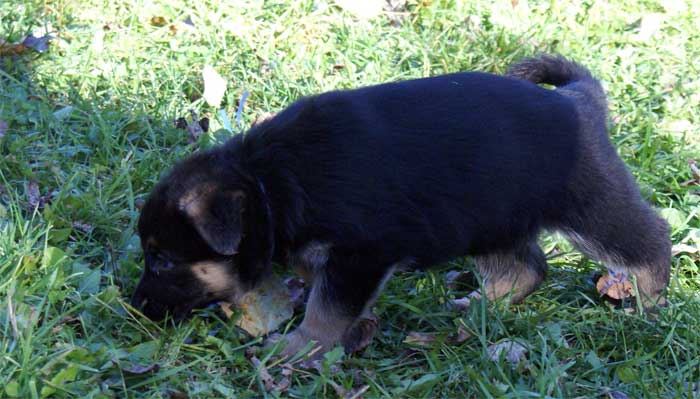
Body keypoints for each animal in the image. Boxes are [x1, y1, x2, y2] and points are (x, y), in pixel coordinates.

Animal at [133, 54, 672, 356]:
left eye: (162, 260)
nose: (135, 308)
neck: (270, 182)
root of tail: (579, 101)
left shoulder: (361, 255)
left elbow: (327, 311)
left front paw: (295, 350)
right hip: (484, 217)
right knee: (527, 269)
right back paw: (476, 307)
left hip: (591, 204)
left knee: (650, 237)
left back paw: (649, 304)